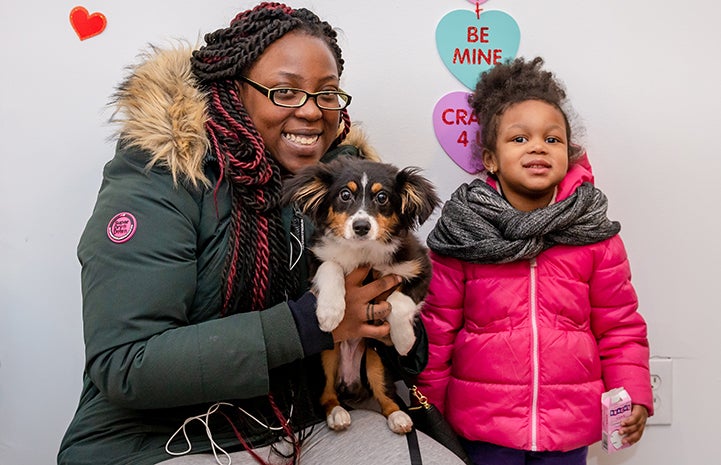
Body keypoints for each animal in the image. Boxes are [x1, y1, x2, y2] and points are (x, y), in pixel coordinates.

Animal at [282, 155, 438, 432]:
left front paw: (404, 339)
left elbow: (399, 301)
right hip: (326, 356)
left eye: (382, 197)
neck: (362, 250)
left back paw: (398, 418)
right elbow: (331, 266)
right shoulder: (315, 260)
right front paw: (329, 313)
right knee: (327, 395)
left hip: (376, 359)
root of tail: (350, 385)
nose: (361, 226)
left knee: (385, 396)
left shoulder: (420, 266)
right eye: (345, 195)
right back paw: (338, 415)